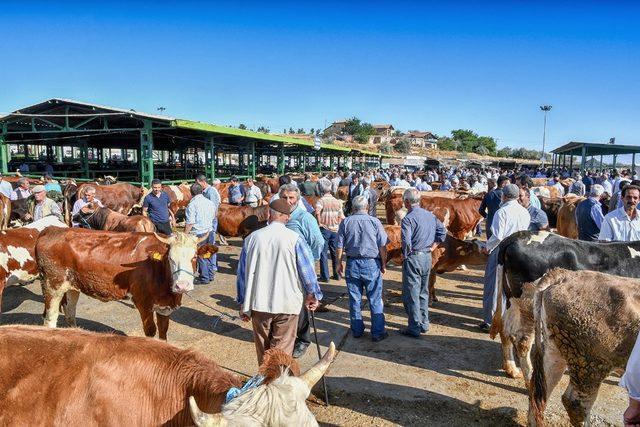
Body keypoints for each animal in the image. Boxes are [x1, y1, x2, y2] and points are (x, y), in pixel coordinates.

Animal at [37, 229, 218, 340]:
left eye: (194, 257)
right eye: (170, 258)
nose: (182, 285)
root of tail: (51, 229)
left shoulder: (164, 306)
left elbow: (163, 331)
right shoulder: (143, 302)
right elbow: (151, 331)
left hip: (72, 286)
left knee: (70, 312)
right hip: (52, 285)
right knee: (50, 319)